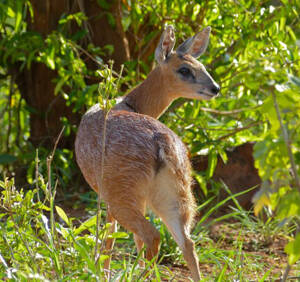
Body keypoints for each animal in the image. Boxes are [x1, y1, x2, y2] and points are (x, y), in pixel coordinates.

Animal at [75, 25, 220, 280]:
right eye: (185, 69)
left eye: (201, 67)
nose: (215, 88)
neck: (131, 102)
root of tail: (164, 143)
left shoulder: (105, 192)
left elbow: (110, 234)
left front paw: (103, 272)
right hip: (176, 194)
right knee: (187, 242)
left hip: (123, 190)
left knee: (151, 234)